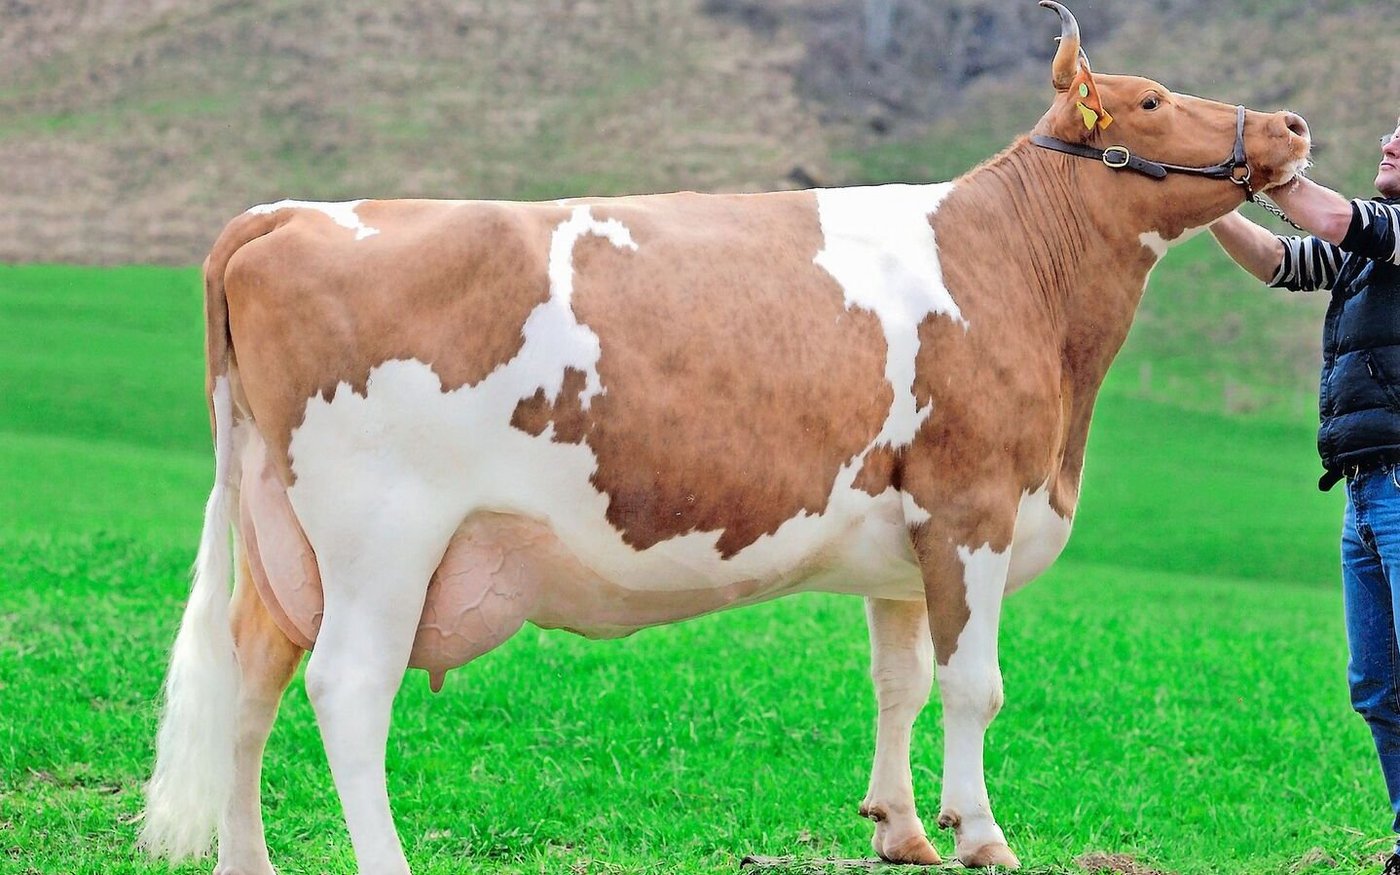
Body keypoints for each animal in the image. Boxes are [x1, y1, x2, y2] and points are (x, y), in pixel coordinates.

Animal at [140, 3, 1311, 872]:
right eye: (1151, 100)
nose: (1293, 126)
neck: (1019, 267)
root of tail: (287, 212)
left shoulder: (906, 536)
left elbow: (901, 681)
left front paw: (902, 829)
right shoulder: (973, 503)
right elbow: (974, 683)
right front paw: (982, 834)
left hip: (281, 532)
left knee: (252, 669)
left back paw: (247, 859)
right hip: (383, 534)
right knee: (347, 687)